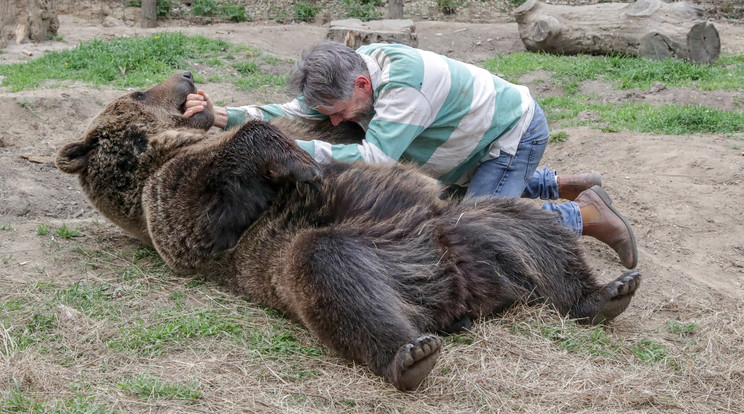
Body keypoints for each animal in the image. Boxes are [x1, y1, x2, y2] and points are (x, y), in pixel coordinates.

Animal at [55, 72, 644, 392]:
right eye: (138, 89)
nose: (187, 76)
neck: (165, 150)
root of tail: (460, 290)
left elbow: (318, 124)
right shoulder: (177, 202)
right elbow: (219, 201)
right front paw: (303, 166)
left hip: (463, 224)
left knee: (531, 231)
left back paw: (607, 291)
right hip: (353, 254)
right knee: (332, 271)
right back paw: (409, 355)